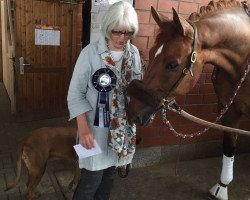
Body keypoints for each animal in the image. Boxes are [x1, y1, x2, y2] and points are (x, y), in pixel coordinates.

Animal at [127, 0, 250, 199]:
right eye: (151, 53)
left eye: (172, 64)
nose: (132, 111)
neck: (243, 61)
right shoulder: (229, 110)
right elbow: (228, 147)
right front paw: (222, 187)